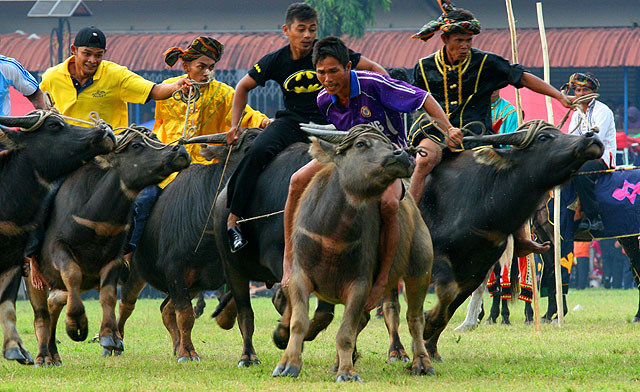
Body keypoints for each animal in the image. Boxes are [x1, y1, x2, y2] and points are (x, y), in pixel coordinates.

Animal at [25, 127, 190, 366]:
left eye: (157, 139)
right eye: (136, 146)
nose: (180, 150)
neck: (97, 217)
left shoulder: (115, 258)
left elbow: (109, 295)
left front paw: (110, 337)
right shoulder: (58, 249)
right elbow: (72, 274)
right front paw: (76, 324)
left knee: (54, 302)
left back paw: (54, 354)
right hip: (32, 275)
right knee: (41, 314)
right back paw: (42, 356)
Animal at [115, 129, 258, 364]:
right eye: (250, 140)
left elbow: (240, 308)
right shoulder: (175, 270)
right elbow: (185, 315)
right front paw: (188, 353)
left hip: (193, 284)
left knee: (165, 309)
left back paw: (176, 345)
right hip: (137, 275)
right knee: (127, 305)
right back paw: (114, 342)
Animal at [272, 127, 432, 382]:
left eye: (388, 144)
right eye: (360, 144)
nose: (401, 155)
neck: (332, 237)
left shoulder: (360, 285)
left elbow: (345, 331)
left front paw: (347, 372)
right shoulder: (298, 277)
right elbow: (299, 322)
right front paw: (288, 364)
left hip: (420, 270)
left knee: (415, 318)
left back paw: (422, 363)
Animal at [418, 120, 604, 362]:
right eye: (543, 138)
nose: (592, 138)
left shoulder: (475, 269)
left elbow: (450, 306)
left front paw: (432, 345)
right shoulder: (436, 258)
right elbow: (448, 294)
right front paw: (428, 326)